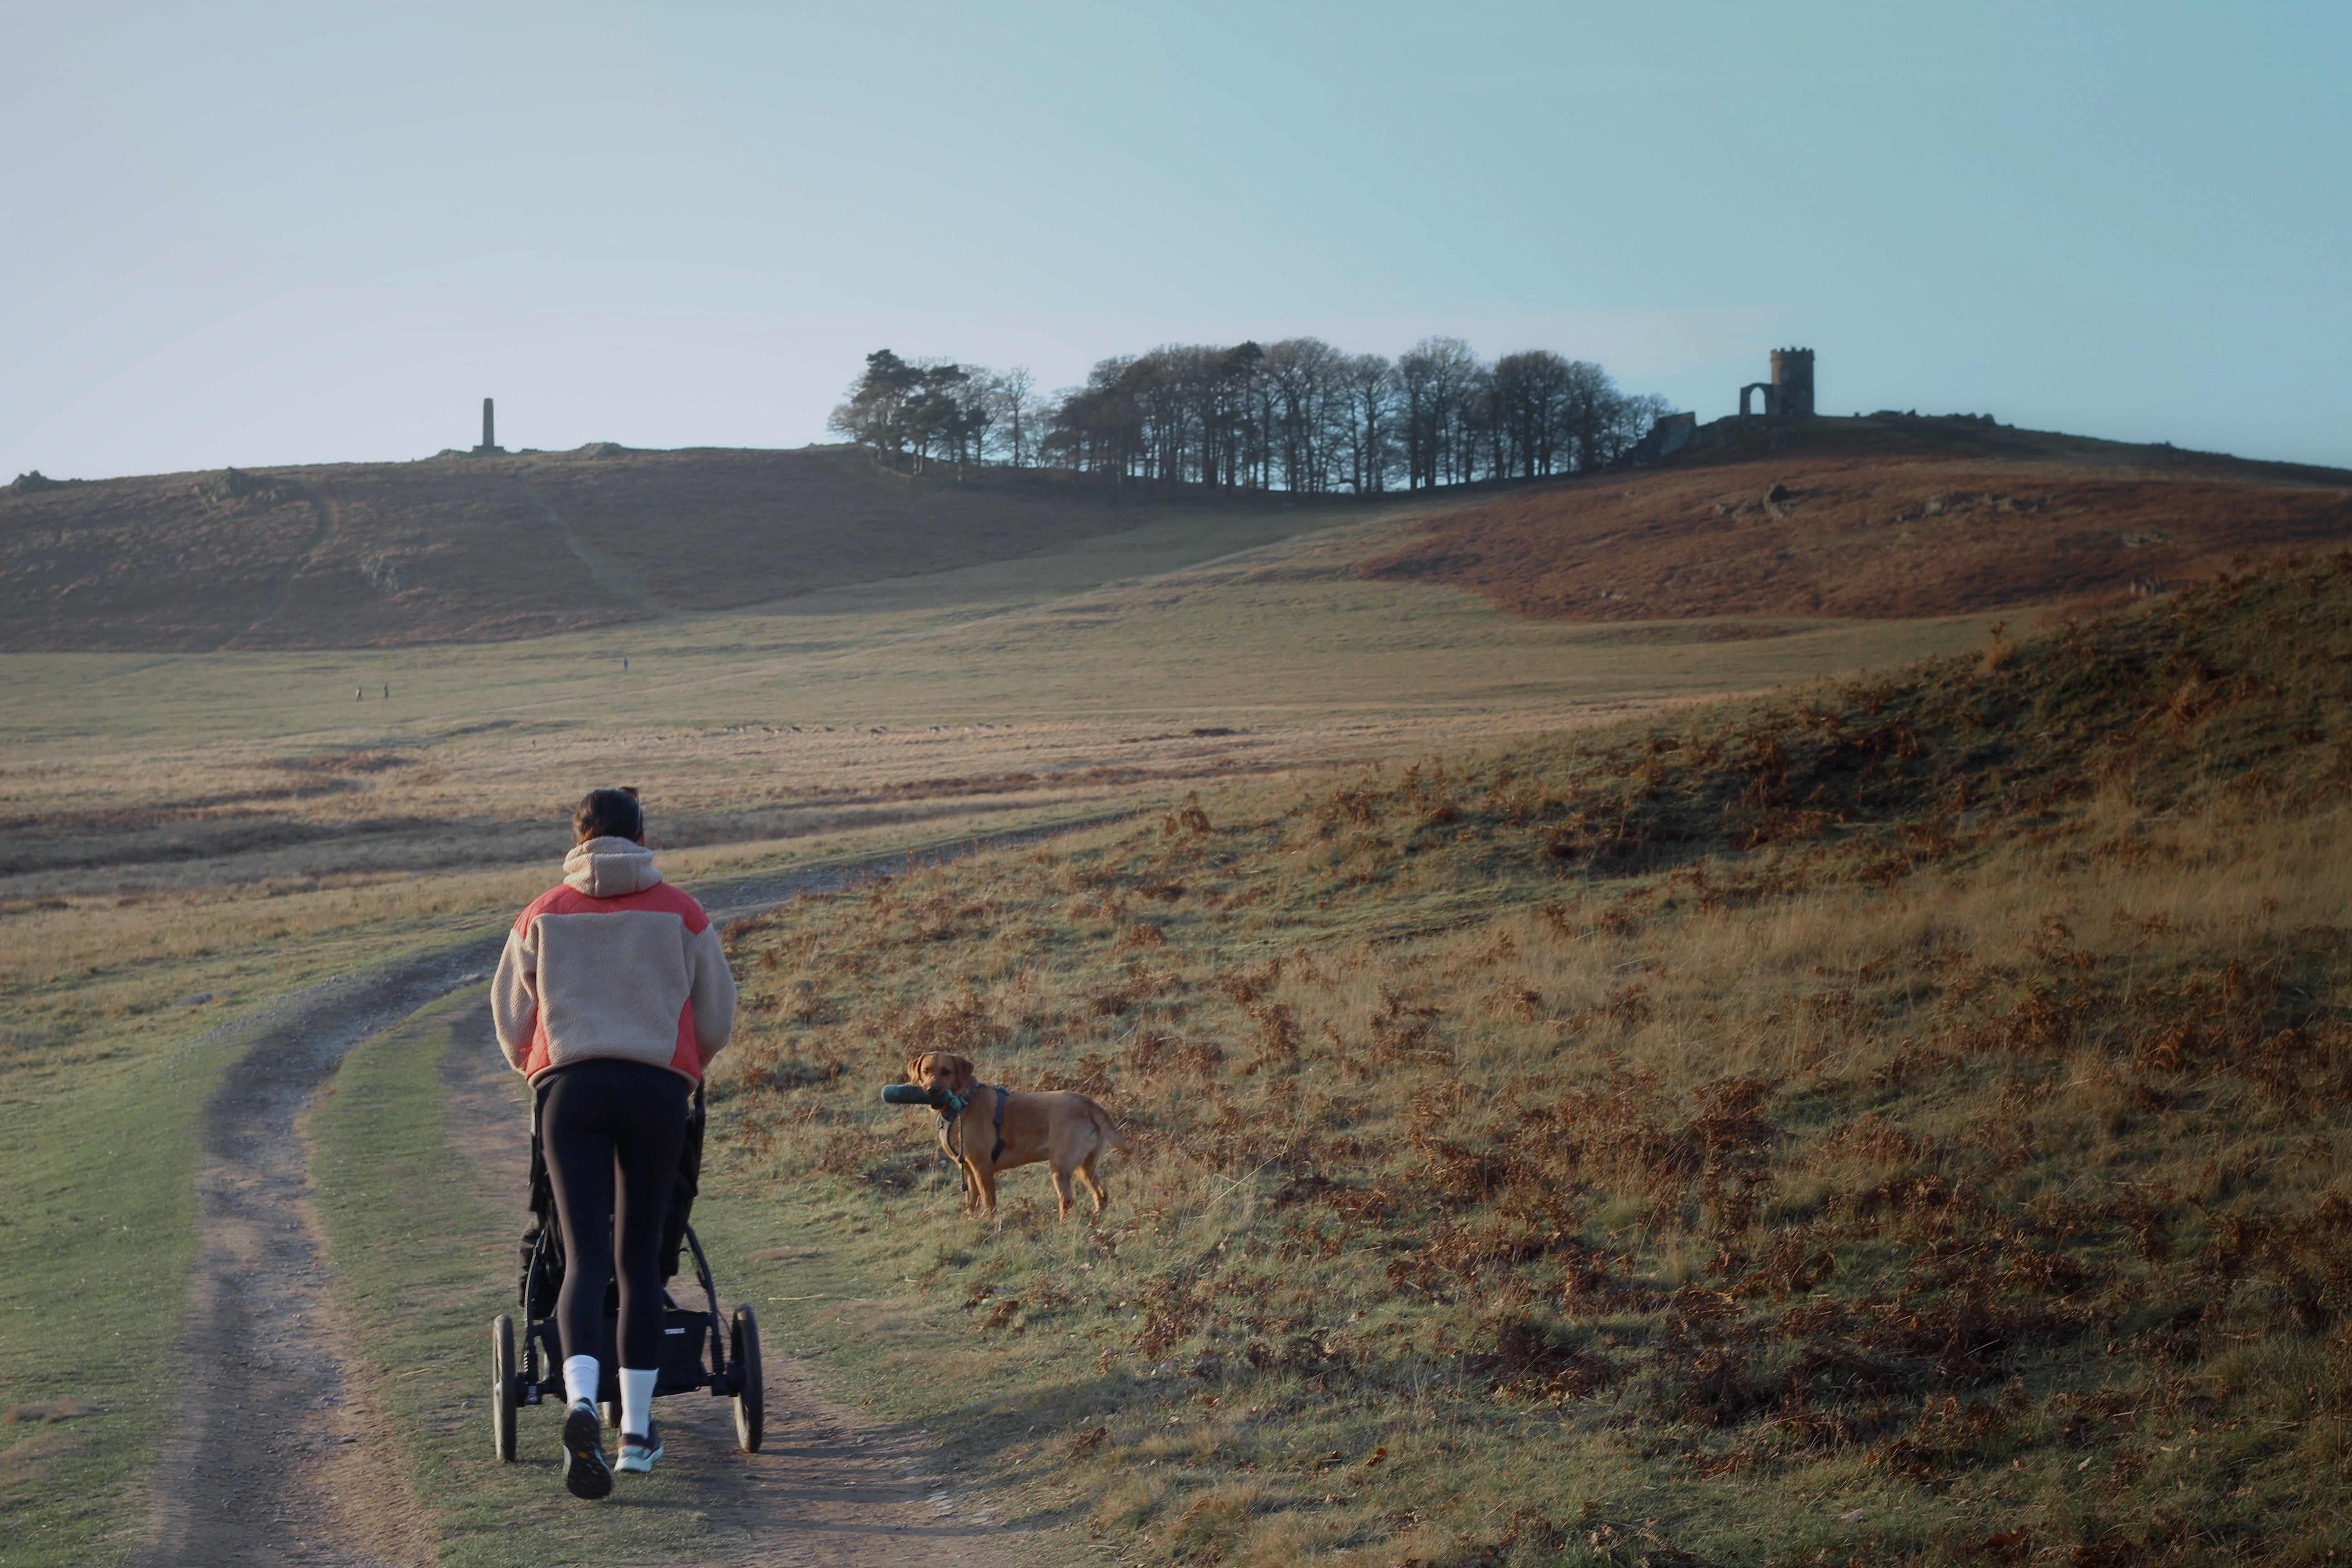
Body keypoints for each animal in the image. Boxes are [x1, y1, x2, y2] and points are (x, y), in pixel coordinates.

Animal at [893, 1053, 1124, 1222]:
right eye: (926, 1071)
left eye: (946, 1072)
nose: (932, 1090)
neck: (961, 1102)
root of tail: (1088, 1104)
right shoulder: (967, 1169)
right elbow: (971, 1202)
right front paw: (972, 1222)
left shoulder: (982, 1168)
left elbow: (989, 1203)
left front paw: (992, 1225)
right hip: (1084, 1166)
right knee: (1101, 1194)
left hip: (1061, 1167)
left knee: (1067, 1201)